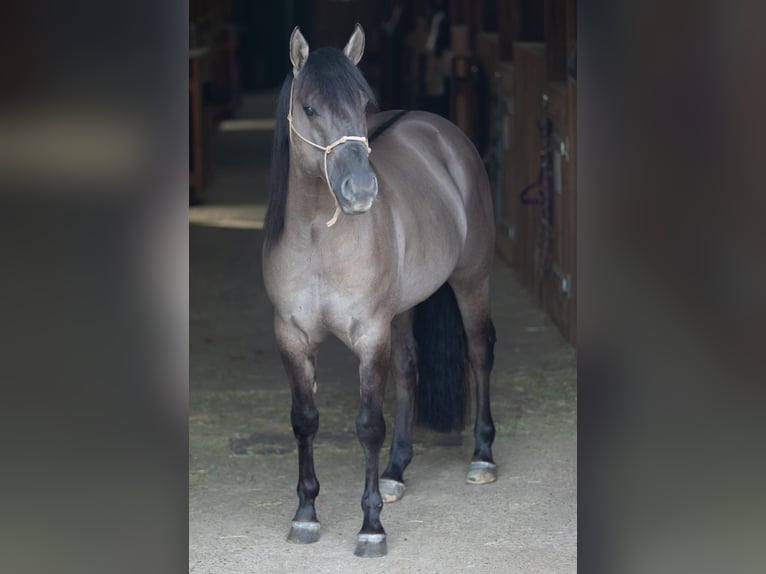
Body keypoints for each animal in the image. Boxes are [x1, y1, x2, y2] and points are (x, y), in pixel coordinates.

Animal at [262, 24, 497, 558]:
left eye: (362, 102)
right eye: (310, 108)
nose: (361, 191)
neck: (318, 236)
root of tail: (440, 129)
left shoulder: (370, 335)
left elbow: (369, 425)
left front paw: (371, 527)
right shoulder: (291, 337)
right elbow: (304, 420)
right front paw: (306, 514)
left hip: (471, 280)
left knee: (479, 352)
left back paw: (482, 456)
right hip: (404, 309)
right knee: (409, 370)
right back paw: (395, 471)